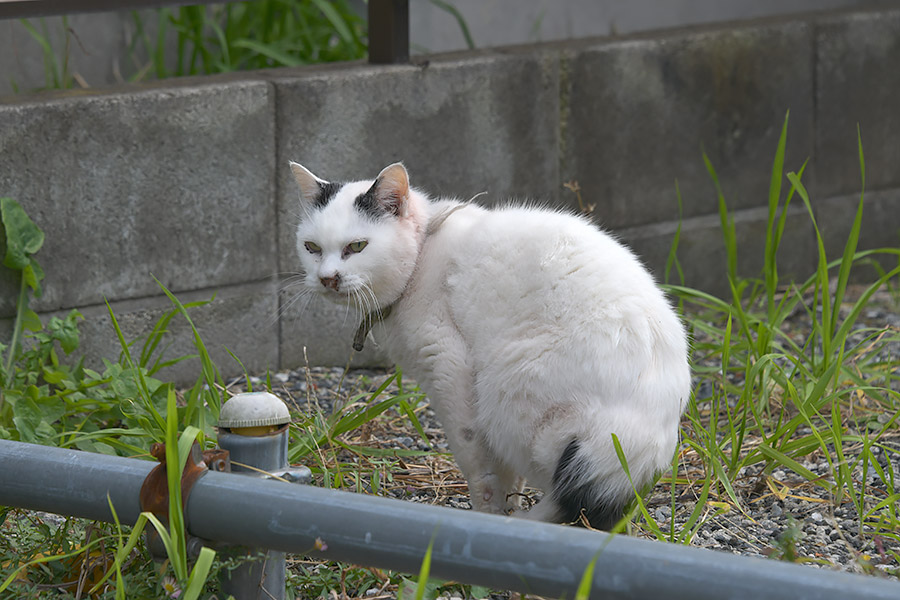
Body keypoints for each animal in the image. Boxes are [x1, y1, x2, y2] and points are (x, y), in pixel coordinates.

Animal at [288, 161, 688, 528]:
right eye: (311, 247)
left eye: (357, 246)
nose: (327, 278)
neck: (422, 256)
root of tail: (651, 434)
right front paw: (505, 507)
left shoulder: (450, 368)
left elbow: (478, 463)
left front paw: (488, 514)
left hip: (509, 394)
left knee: (569, 494)